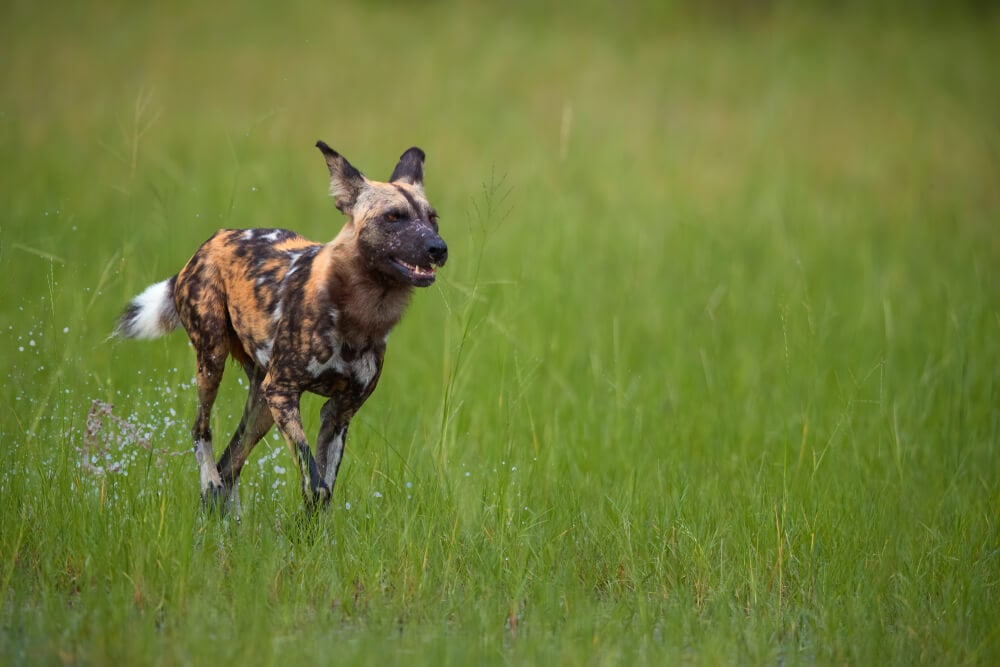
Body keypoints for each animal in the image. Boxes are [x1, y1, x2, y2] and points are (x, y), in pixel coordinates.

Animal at [115, 144, 448, 516]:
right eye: (394, 217)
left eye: (432, 218)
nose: (439, 248)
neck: (359, 312)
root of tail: (213, 240)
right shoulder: (284, 392)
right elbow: (315, 483)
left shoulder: (338, 412)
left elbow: (323, 493)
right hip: (215, 361)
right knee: (201, 431)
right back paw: (211, 488)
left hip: (261, 402)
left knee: (230, 464)